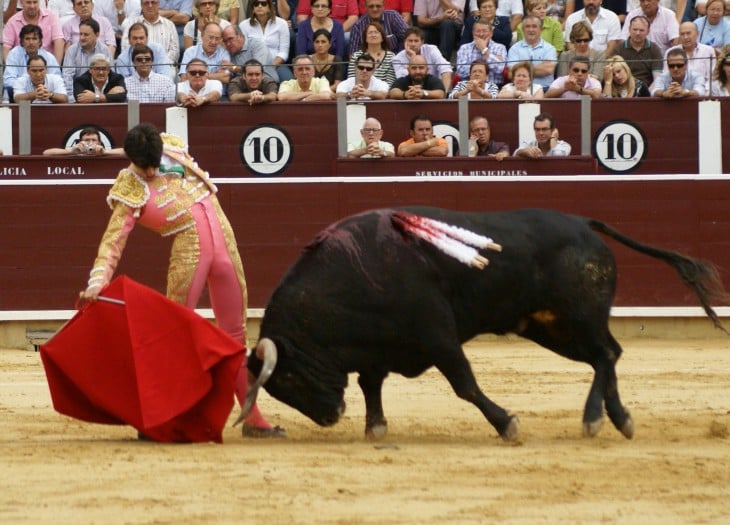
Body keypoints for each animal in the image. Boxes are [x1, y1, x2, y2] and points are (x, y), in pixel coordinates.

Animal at [243, 207, 724, 440]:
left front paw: (506, 424)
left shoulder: (438, 336)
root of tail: (582, 223)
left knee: (606, 353)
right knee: (605, 357)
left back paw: (600, 419)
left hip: (580, 316)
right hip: (549, 326)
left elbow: (465, 385)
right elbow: (370, 382)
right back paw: (613, 419)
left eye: (289, 378)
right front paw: (374, 426)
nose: (331, 416)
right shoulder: (380, 344)